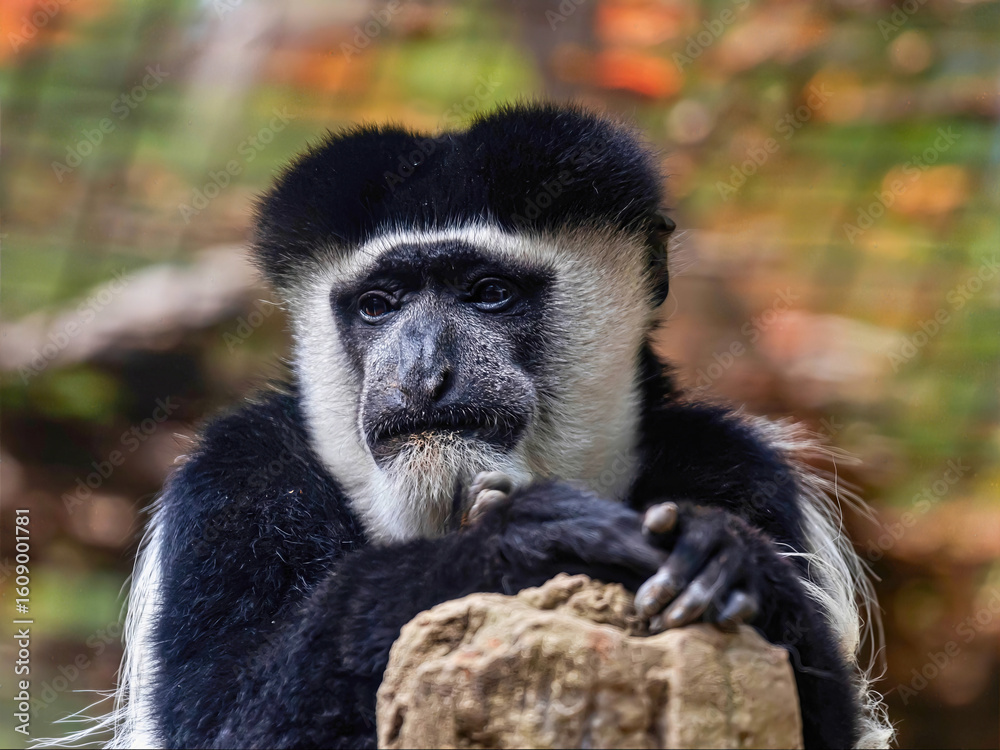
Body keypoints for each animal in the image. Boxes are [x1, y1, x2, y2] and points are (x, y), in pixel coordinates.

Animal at [76, 102, 892, 749]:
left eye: (488, 292)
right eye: (378, 304)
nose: (423, 372)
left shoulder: (738, 464)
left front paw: (721, 551)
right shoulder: (234, 482)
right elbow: (216, 716)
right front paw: (526, 540)